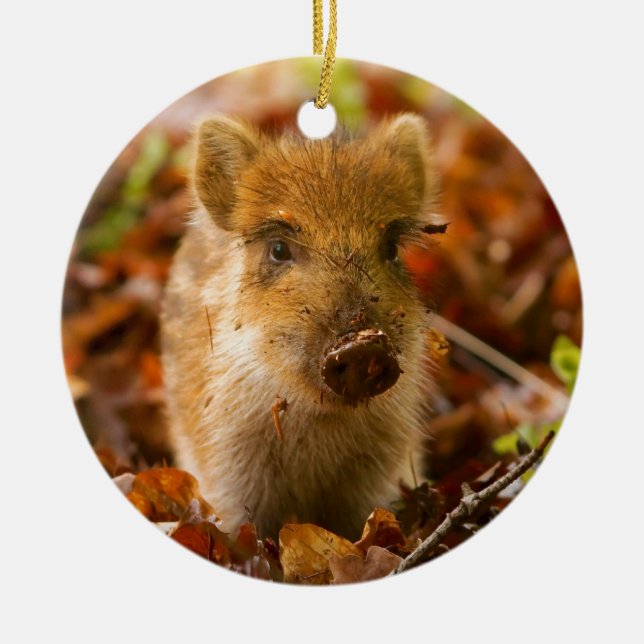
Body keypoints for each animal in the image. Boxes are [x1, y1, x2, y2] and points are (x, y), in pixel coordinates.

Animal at [160, 113, 441, 540]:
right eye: (278, 248)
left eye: (391, 248)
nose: (360, 346)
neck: (317, 428)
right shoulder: (226, 460)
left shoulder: (380, 465)